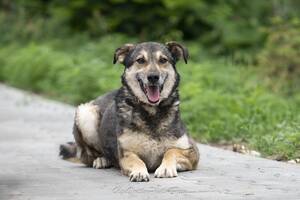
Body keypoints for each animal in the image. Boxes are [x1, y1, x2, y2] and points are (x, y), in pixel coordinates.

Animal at [59, 41, 199, 182]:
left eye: (163, 60)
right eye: (140, 60)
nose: (153, 77)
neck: (151, 111)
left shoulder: (192, 151)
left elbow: (171, 151)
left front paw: (165, 168)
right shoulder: (126, 154)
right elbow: (137, 161)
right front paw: (139, 172)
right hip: (85, 113)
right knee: (89, 156)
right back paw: (102, 160)